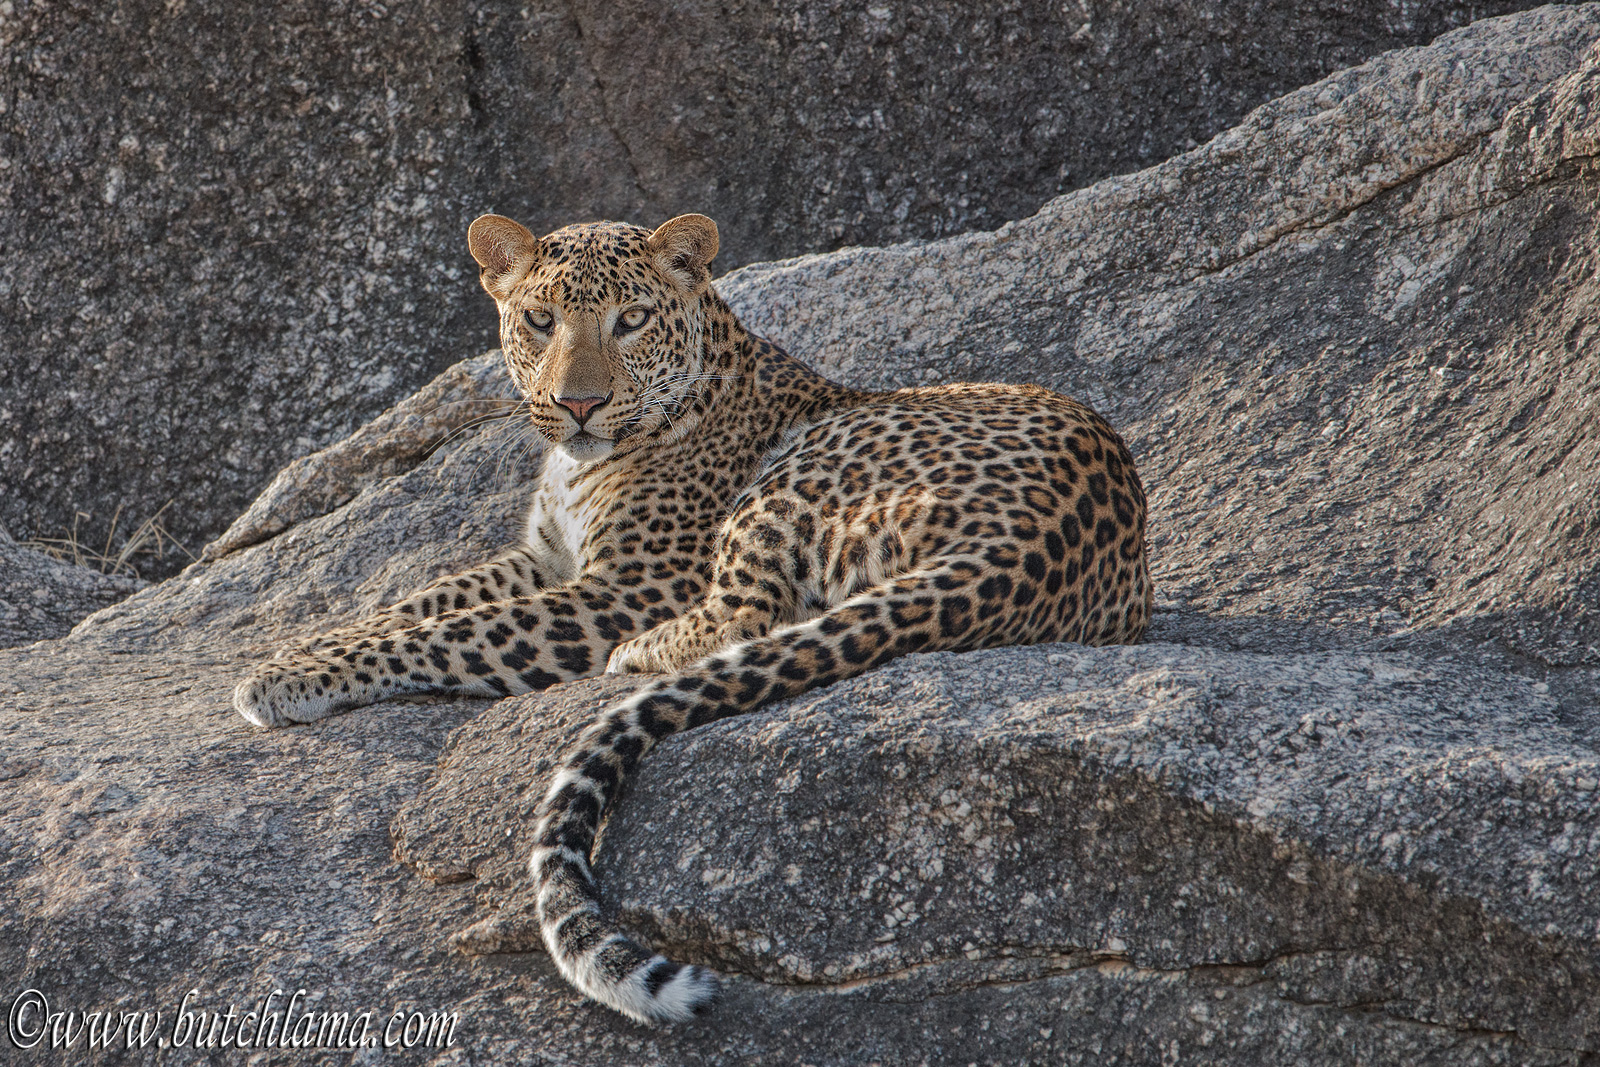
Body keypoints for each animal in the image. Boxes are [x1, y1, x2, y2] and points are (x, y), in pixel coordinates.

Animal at [233, 211, 1152, 1024]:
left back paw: (642, 655)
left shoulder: (624, 587)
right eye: (539, 319)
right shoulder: (545, 559)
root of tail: (1037, 533)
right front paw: (296, 649)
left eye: (631, 320)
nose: (578, 404)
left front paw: (289, 677)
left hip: (795, 476)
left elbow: (451, 629)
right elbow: (422, 598)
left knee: (747, 613)